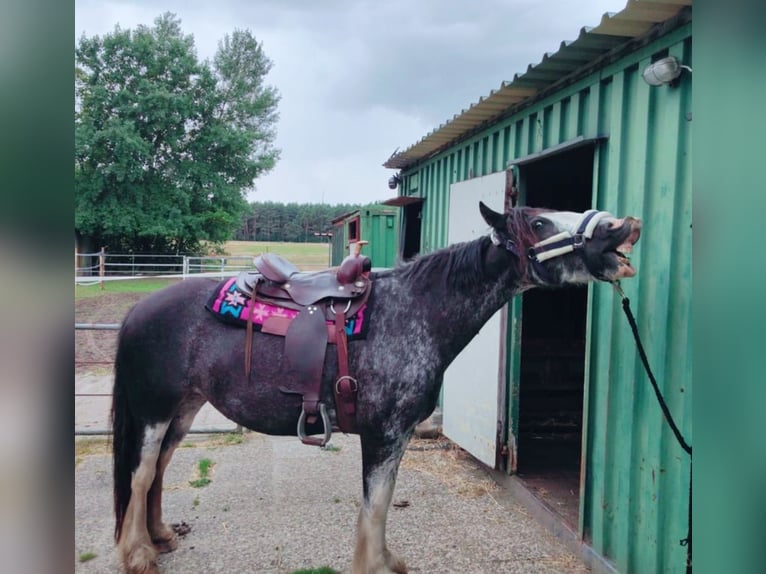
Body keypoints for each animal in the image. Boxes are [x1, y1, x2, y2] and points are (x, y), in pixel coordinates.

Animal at [111, 201, 641, 574]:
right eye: (539, 223)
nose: (621, 227)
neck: (417, 311)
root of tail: (137, 310)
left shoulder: (397, 436)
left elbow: (382, 504)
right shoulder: (382, 434)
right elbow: (374, 505)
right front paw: (373, 564)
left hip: (183, 410)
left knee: (159, 470)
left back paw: (161, 536)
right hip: (155, 411)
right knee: (140, 474)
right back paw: (138, 554)